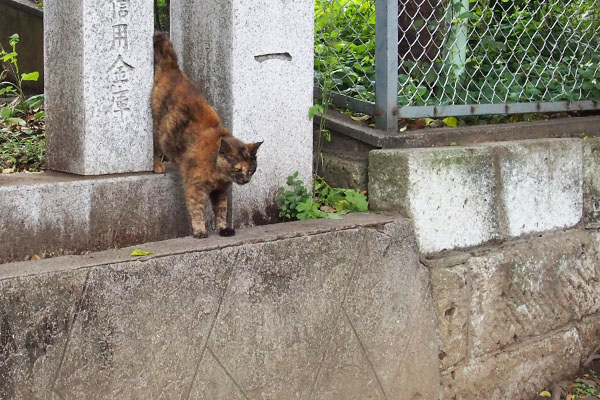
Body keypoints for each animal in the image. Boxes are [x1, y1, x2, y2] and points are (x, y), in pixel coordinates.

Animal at [151, 32, 262, 238]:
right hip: (156, 131)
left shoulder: (221, 191)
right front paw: (200, 230)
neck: (219, 173)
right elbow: (197, 210)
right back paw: (157, 166)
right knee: (155, 149)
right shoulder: (195, 187)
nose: (246, 180)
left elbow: (221, 210)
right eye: (237, 169)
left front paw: (224, 228)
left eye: (251, 169)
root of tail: (174, 69)